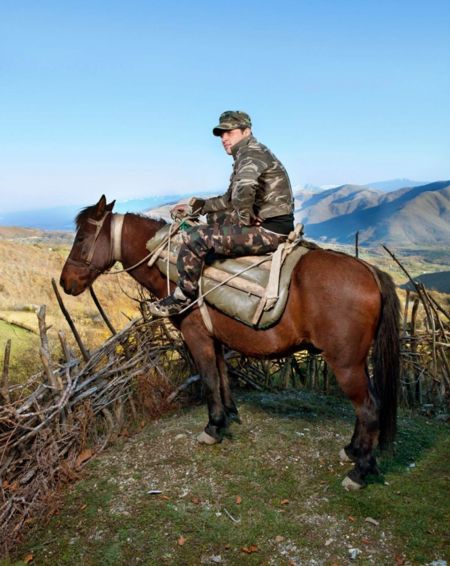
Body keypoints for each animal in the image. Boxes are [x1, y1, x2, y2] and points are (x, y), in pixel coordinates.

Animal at [60, 195, 400, 488]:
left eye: (81, 239)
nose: (65, 283)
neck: (170, 262)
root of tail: (370, 271)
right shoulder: (216, 338)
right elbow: (223, 376)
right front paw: (229, 416)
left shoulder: (196, 335)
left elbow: (209, 378)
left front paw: (213, 427)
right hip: (356, 360)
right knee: (367, 404)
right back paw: (353, 451)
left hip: (344, 362)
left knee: (368, 407)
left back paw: (360, 471)